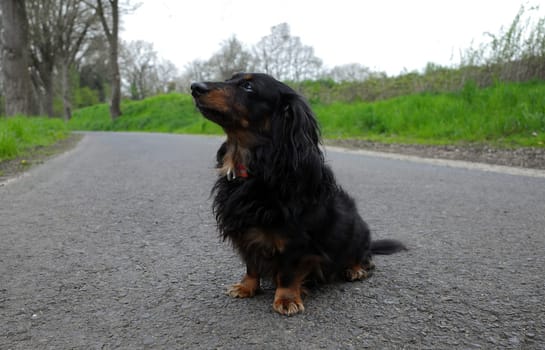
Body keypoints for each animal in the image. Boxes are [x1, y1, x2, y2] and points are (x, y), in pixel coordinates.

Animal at [190, 73, 404, 314]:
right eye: (229, 79)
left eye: (248, 86)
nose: (195, 87)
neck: (257, 170)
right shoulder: (246, 232)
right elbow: (251, 265)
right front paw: (246, 287)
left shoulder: (295, 241)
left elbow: (288, 272)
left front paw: (286, 299)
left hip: (357, 231)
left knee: (364, 257)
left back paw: (356, 269)